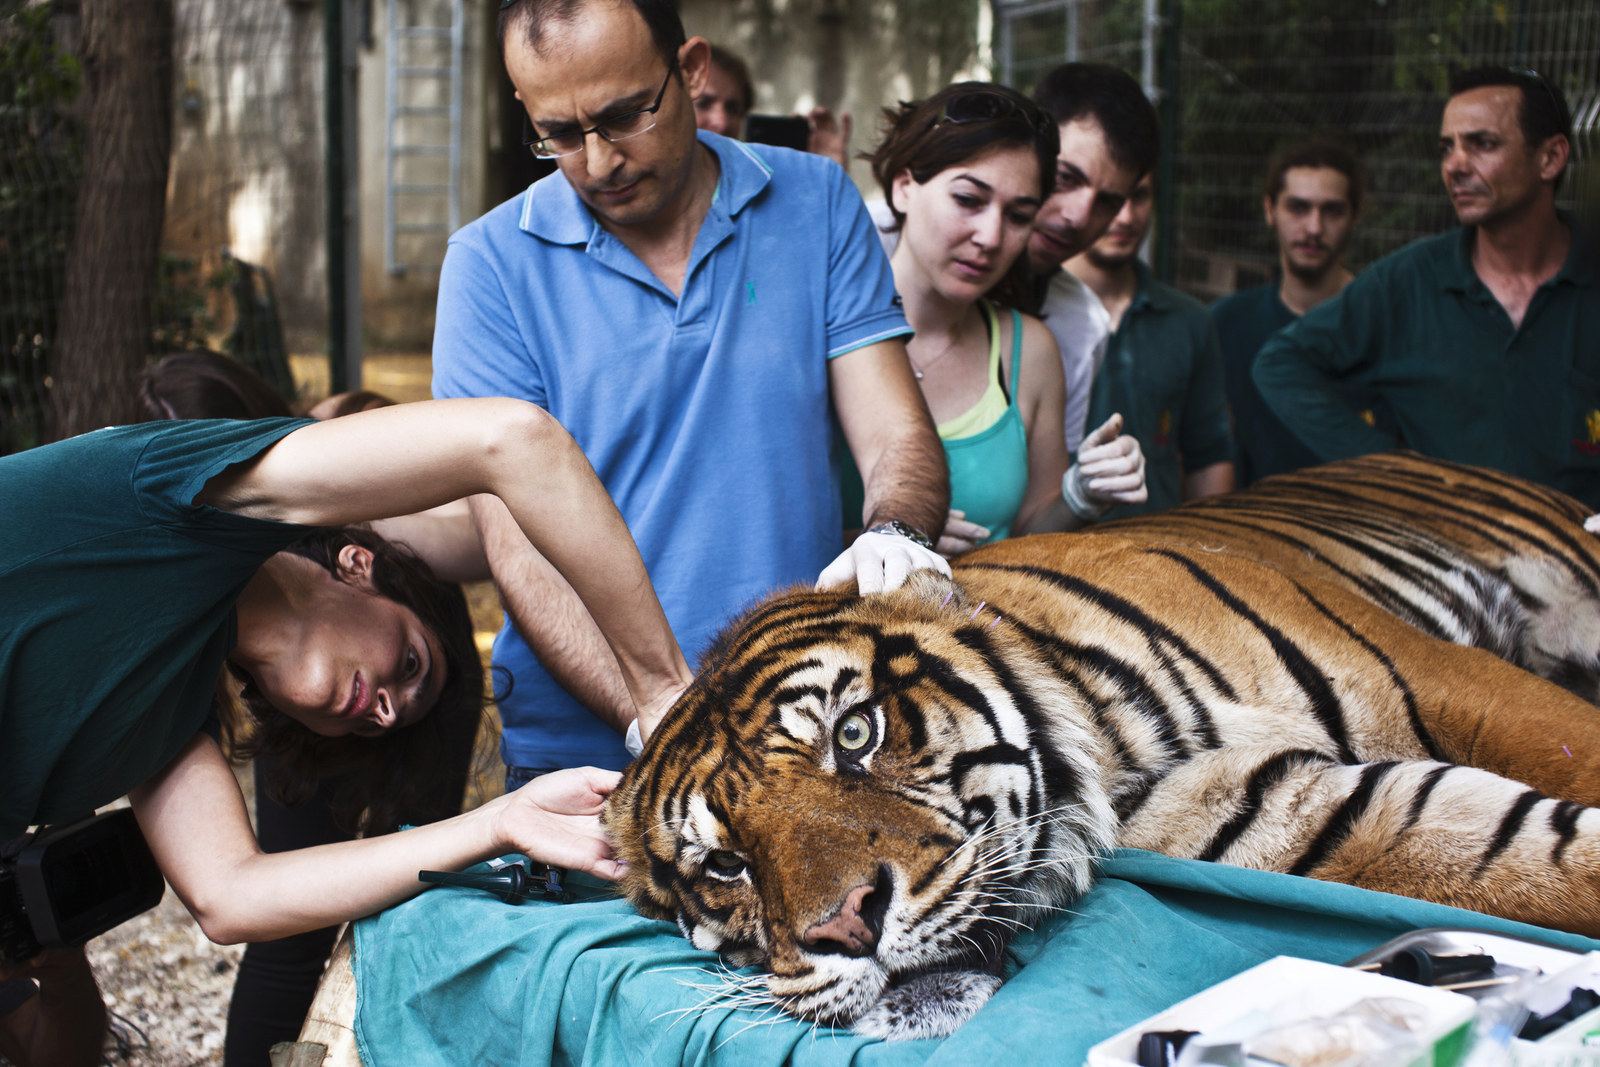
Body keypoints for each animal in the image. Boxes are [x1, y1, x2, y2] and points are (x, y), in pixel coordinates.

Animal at [601, 454, 1600, 1043]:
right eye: (725, 864)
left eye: (855, 734)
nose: (844, 926)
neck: (1117, 767)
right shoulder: (1305, 815)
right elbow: (1532, 868)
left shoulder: (1443, 681)